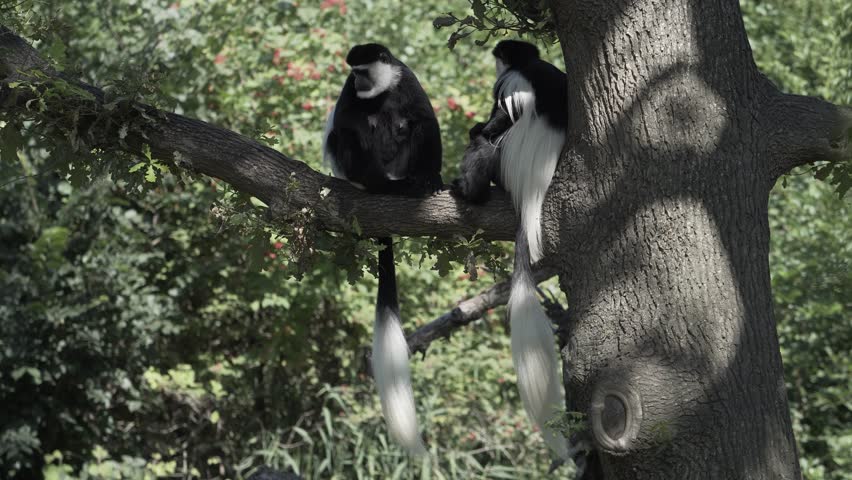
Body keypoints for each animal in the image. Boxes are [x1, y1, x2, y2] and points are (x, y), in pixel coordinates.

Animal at [322, 43, 443, 455]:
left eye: (363, 70)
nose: (359, 82)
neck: (381, 89)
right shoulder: (349, 96)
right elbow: (347, 124)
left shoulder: (407, 79)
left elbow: (425, 120)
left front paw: (434, 178)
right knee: (348, 135)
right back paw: (380, 185)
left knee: (412, 126)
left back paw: (414, 183)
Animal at [451, 39, 570, 460]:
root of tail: (531, 191)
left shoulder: (507, 84)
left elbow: (499, 118)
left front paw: (478, 126)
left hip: (505, 166)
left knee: (485, 148)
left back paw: (467, 189)